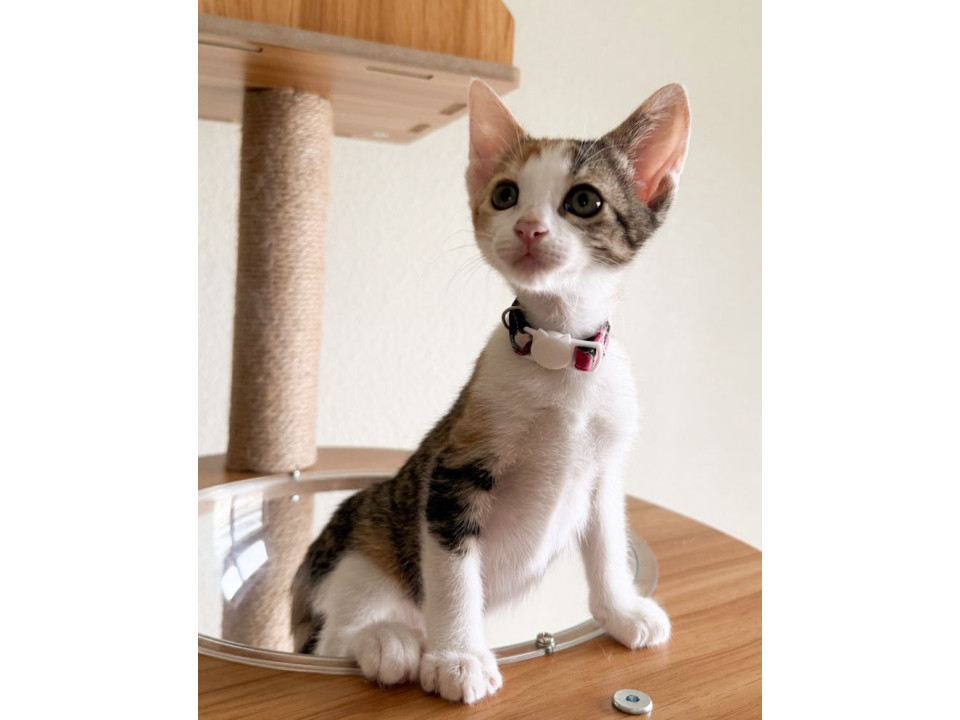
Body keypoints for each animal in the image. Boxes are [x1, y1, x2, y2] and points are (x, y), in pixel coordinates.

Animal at [291, 79, 691, 704]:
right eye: (505, 194)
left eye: (585, 201)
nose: (527, 227)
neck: (558, 354)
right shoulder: (453, 472)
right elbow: (454, 572)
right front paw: (457, 657)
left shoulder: (603, 471)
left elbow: (606, 541)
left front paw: (621, 611)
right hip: (361, 544)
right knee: (336, 637)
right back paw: (386, 639)